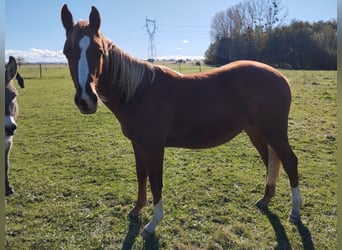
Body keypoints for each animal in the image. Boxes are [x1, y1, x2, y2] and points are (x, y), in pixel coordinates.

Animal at [61, 4, 302, 237]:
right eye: (67, 51)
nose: (86, 99)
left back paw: (295, 212)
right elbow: (141, 176)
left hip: (274, 132)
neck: (139, 91)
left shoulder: (154, 146)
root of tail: (280, 77)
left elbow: (155, 181)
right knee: (271, 162)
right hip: (257, 133)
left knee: (290, 162)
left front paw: (153, 223)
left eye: (99, 51)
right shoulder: (138, 144)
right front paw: (137, 209)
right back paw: (265, 199)